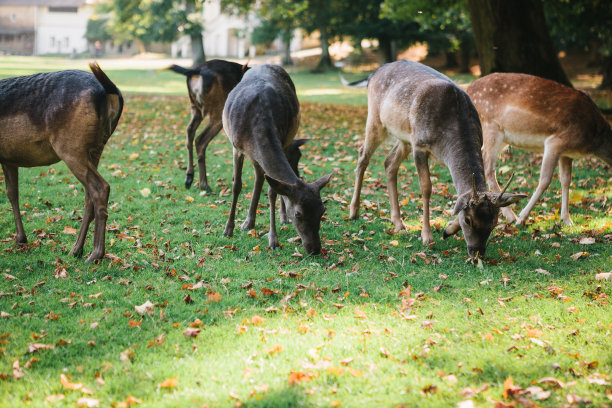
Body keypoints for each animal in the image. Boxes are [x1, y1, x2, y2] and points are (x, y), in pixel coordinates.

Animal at [0, 62, 124, 262]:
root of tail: (110, 91)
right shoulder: (9, 158)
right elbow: (12, 193)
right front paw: (21, 239)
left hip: (70, 146)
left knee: (100, 188)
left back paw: (95, 254)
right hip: (96, 148)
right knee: (89, 195)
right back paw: (76, 250)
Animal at [166, 59, 250, 193]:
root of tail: (194, 70)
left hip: (195, 106)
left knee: (189, 130)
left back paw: (189, 178)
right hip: (218, 110)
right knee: (200, 140)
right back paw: (204, 185)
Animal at [222, 64, 332, 255]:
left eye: (323, 210)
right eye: (298, 213)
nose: (315, 249)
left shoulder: (282, 138)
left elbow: (273, 191)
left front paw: (273, 240)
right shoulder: (236, 147)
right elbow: (237, 185)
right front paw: (228, 230)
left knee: (264, 178)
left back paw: (277, 217)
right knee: (259, 177)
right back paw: (248, 222)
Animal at [350, 59, 524, 260]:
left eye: (494, 222)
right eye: (468, 220)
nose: (477, 254)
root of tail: (373, 74)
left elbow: (459, 196)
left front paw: (447, 230)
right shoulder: (419, 145)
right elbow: (426, 188)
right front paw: (427, 236)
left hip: (404, 137)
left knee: (389, 163)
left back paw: (398, 223)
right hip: (376, 120)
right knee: (362, 156)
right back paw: (354, 211)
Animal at [466, 73, 608, 226]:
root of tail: (467, 90)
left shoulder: (566, 154)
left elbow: (566, 180)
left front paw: (567, 219)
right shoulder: (555, 142)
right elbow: (545, 180)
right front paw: (522, 218)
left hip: (500, 138)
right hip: (491, 127)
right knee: (488, 168)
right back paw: (511, 216)